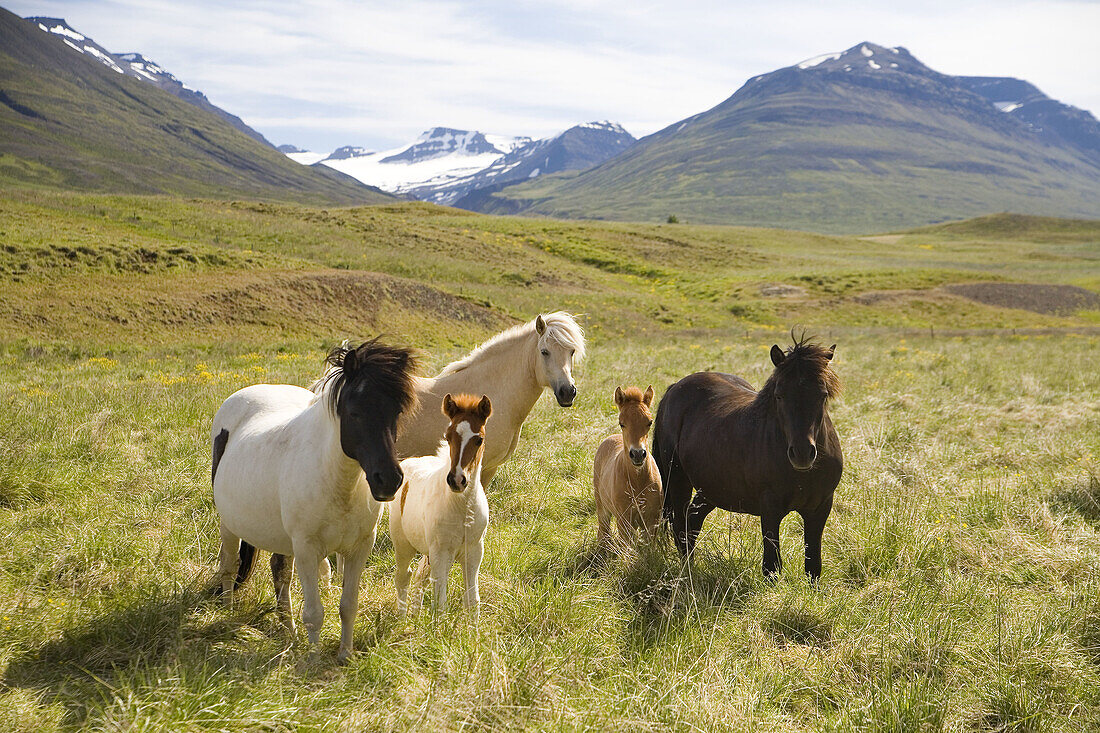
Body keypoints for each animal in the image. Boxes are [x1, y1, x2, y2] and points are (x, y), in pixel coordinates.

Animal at [387, 394, 490, 611]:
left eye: (479, 439)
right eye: (448, 436)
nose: (457, 480)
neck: (462, 508)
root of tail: (409, 461)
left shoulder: (474, 552)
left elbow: (472, 600)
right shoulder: (441, 553)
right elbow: (440, 603)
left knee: (420, 577)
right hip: (403, 543)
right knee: (403, 577)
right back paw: (402, 617)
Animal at [651, 334, 840, 581]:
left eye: (822, 395)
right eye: (779, 395)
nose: (801, 454)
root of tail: (675, 388)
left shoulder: (820, 508)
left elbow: (813, 567)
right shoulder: (770, 508)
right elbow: (772, 566)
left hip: (711, 488)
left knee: (692, 522)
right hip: (677, 478)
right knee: (680, 527)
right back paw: (688, 574)